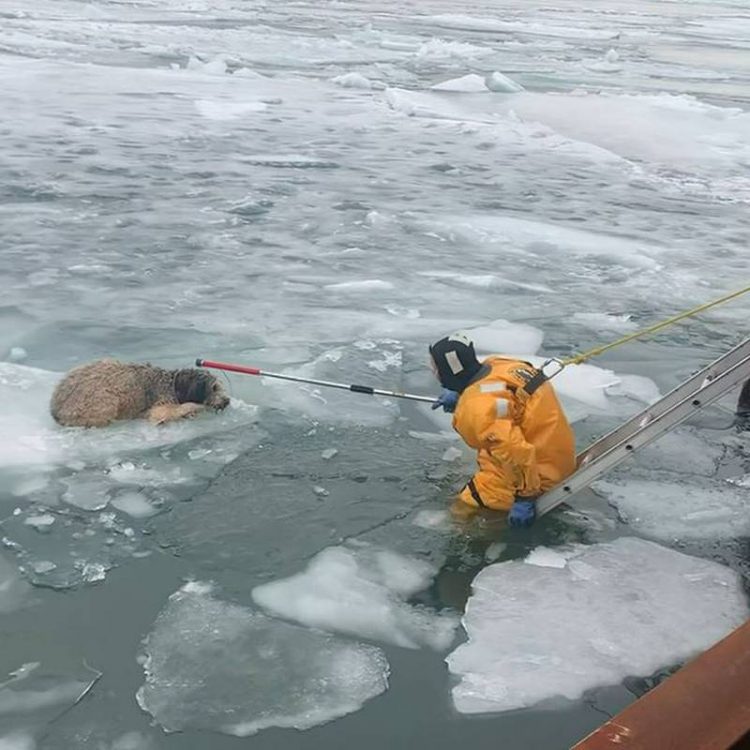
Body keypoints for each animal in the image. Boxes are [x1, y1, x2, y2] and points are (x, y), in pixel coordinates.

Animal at [50, 359, 230, 427]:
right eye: (214, 387)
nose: (227, 400)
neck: (174, 384)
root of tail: (55, 410)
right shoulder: (160, 405)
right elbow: (164, 413)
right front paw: (193, 409)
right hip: (103, 401)